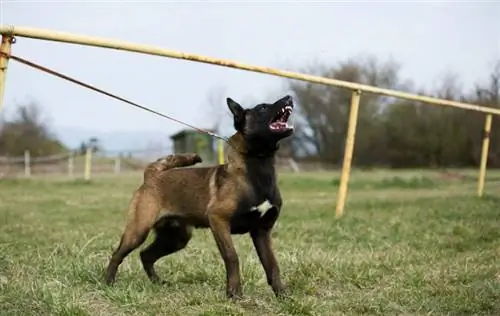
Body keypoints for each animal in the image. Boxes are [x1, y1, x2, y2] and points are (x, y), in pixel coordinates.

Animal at [104, 94, 292, 298]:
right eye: (262, 108)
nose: (289, 97)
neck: (258, 167)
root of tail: (152, 174)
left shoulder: (262, 232)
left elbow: (272, 265)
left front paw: (282, 294)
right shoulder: (219, 220)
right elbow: (232, 257)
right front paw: (234, 293)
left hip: (176, 238)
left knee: (146, 255)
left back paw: (157, 282)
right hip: (138, 231)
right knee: (118, 255)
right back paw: (108, 283)